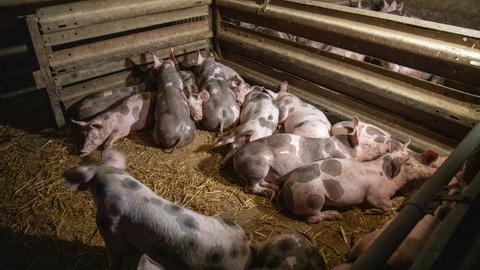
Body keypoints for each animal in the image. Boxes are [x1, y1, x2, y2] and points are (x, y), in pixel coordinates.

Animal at [232, 115, 398, 199]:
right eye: (367, 145)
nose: (387, 147)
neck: (346, 148)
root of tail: (237, 157)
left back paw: (273, 187)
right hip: (259, 166)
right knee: (250, 187)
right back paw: (270, 194)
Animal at [280, 142, 444, 223]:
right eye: (408, 164)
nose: (431, 171)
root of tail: (287, 185)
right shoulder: (376, 195)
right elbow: (387, 206)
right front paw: (368, 211)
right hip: (313, 197)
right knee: (311, 218)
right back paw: (335, 215)